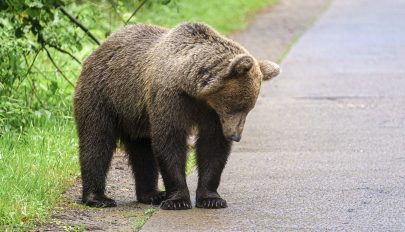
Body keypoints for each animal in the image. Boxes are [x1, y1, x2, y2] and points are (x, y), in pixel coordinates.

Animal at [73, 22, 278, 210]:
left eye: (248, 108)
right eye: (238, 106)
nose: (235, 136)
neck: (192, 89)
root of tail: (98, 49)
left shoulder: (210, 113)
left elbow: (212, 146)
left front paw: (212, 199)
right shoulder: (170, 98)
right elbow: (170, 141)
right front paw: (177, 200)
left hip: (136, 116)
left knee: (142, 150)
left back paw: (152, 194)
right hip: (103, 96)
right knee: (96, 141)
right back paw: (98, 198)